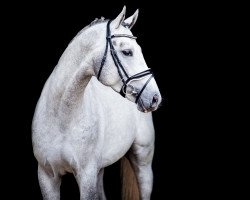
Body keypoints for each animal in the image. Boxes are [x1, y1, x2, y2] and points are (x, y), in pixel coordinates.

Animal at [32, 6, 162, 200]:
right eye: (127, 52)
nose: (155, 97)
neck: (62, 118)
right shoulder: (47, 177)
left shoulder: (86, 176)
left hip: (143, 162)